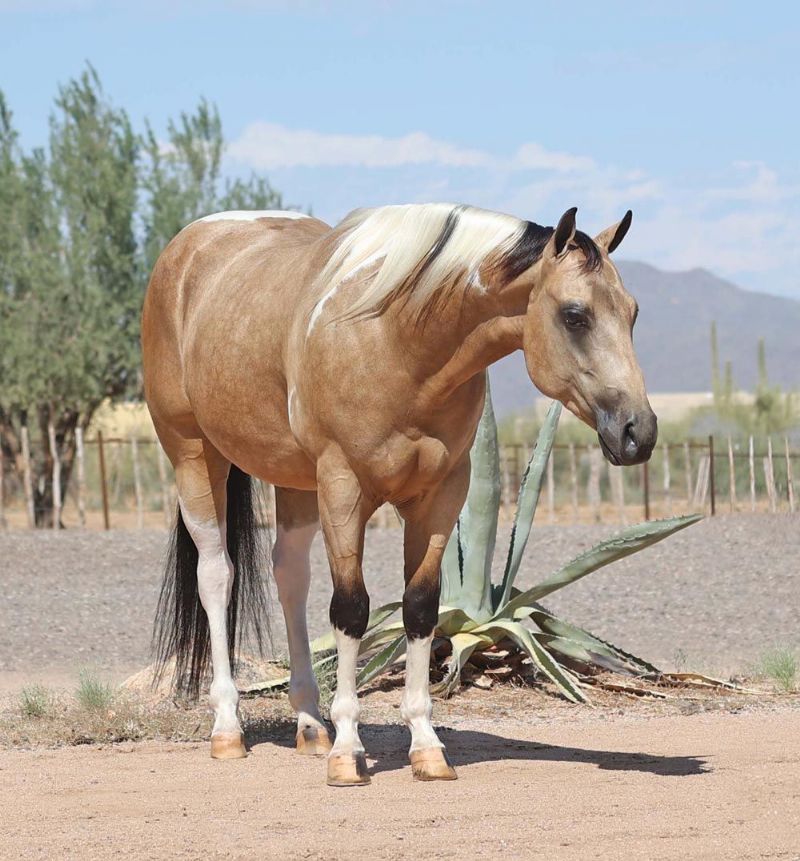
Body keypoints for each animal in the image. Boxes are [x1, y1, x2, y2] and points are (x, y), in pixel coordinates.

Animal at [142, 202, 656, 786]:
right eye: (575, 315)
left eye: (632, 313)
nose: (639, 432)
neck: (397, 342)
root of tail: (189, 246)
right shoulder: (342, 487)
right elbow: (351, 609)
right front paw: (348, 751)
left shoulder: (441, 496)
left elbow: (420, 608)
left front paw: (425, 746)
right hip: (194, 455)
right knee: (216, 575)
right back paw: (228, 729)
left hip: (295, 482)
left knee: (290, 576)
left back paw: (309, 725)